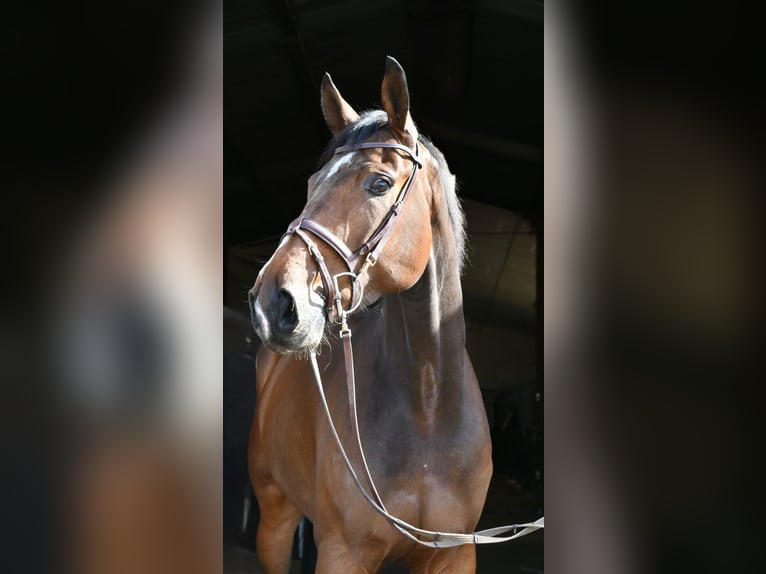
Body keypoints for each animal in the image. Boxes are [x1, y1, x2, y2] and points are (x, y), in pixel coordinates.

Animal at [247, 57, 493, 573]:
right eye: (311, 185)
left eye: (379, 183)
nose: (272, 303)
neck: (427, 409)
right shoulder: (343, 550)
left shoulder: (455, 555)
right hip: (274, 515)